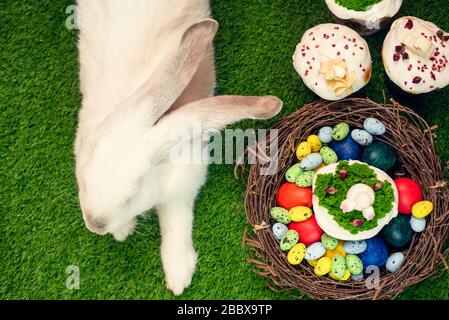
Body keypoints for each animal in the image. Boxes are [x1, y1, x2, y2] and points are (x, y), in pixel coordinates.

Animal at [75, 0, 282, 296]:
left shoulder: (184, 186)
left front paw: (179, 275)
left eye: (130, 195)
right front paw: (123, 231)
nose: (95, 225)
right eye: (83, 182)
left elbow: (176, 224)